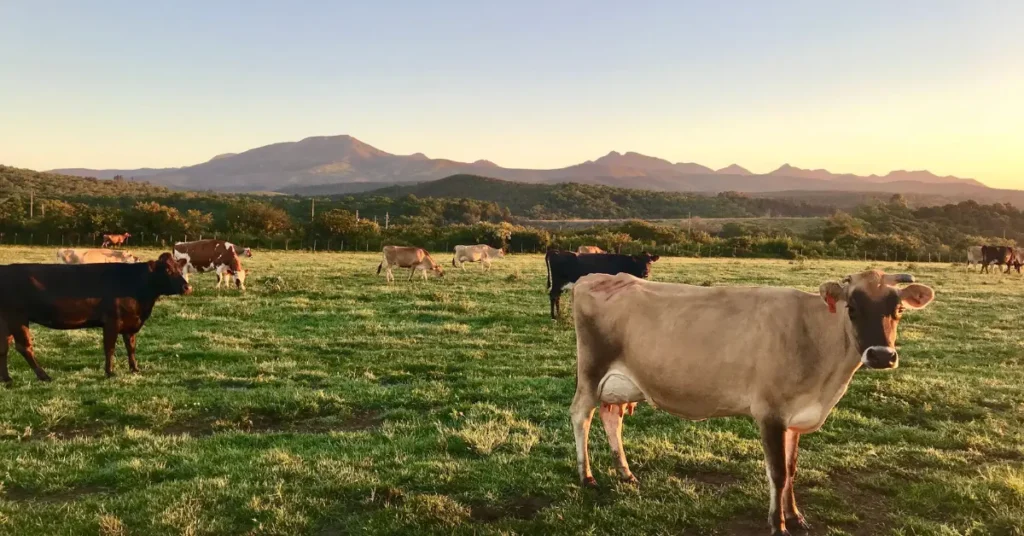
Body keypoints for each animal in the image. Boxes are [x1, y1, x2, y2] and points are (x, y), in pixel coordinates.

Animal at [0, 253, 192, 382]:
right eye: (167, 270)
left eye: (179, 268)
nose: (187, 287)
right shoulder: (112, 321)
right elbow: (110, 348)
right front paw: (110, 372)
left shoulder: (130, 323)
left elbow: (131, 347)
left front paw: (135, 369)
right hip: (17, 317)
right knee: (24, 347)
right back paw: (44, 376)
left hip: (6, 321)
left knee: (4, 347)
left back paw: (7, 379)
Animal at [569, 270, 934, 535]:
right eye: (852, 309)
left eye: (898, 310)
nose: (882, 355)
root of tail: (595, 277)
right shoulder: (770, 413)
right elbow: (777, 472)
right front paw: (778, 524)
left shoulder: (794, 417)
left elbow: (792, 468)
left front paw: (795, 515)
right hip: (591, 371)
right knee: (580, 415)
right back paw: (587, 476)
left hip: (620, 384)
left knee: (611, 418)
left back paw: (625, 473)